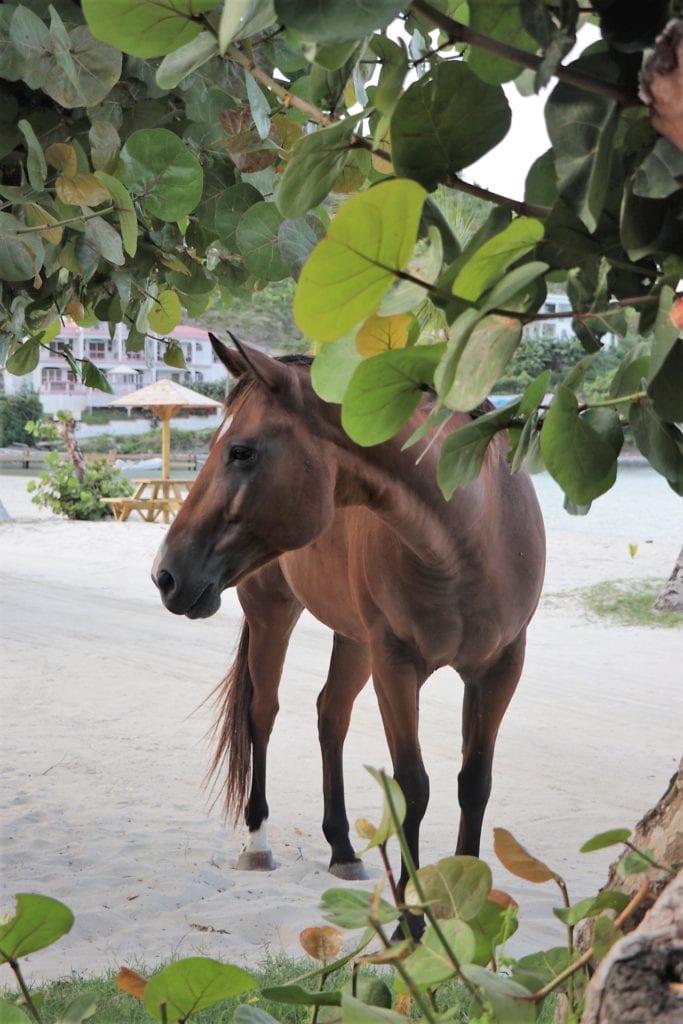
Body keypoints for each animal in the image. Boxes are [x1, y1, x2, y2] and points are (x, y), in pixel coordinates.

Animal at [153, 333, 544, 897]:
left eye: (241, 451)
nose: (166, 574)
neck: (469, 539)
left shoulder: (500, 668)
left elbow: (474, 784)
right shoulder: (396, 665)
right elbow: (413, 787)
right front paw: (413, 916)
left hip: (355, 640)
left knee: (330, 713)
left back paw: (341, 848)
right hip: (275, 614)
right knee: (263, 713)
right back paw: (259, 843)